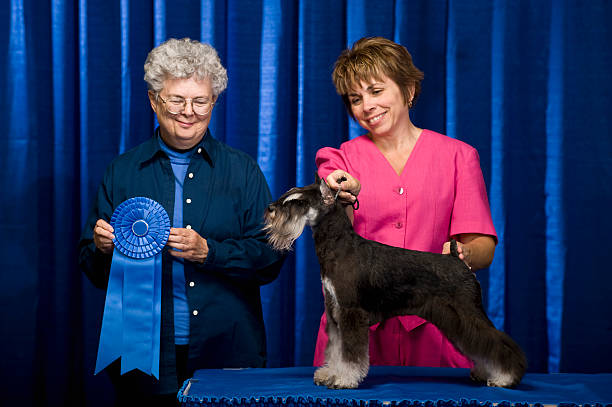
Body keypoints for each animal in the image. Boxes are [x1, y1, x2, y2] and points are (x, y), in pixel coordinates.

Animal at [262, 178, 524, 388]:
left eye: (298, 203)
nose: (270, 209)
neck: (337, 245)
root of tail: (458, 261)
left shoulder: (351, 312)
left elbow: (351, 354)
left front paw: (344, 379)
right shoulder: (335, 313)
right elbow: (336, 349)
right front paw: (329, 374)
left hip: (467, 313)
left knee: (496, 342)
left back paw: (505, 378)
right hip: (454, 321)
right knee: (481, 346)